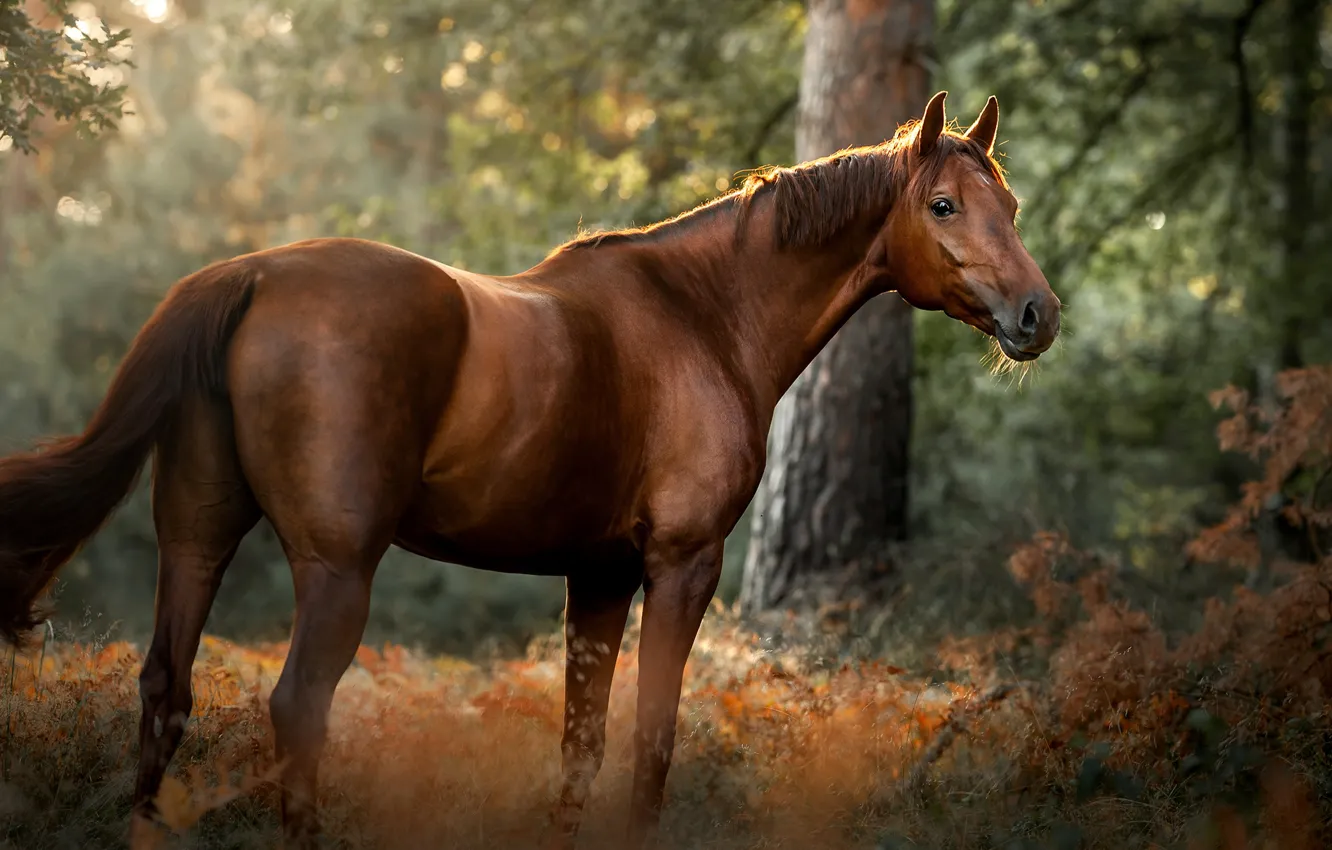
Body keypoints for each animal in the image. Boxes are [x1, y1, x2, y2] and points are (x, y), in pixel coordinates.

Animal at [0, 91, 1059, 849]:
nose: (1037, 315)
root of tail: (251, 274)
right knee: (297, 707)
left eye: (1010, 204)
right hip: (337, 569)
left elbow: (581, 743)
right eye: (944, 205)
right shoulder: (683, 565)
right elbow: (652, 738)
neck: (702, 315)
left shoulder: (598, 575)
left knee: (164, 692)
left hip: (197, 539)